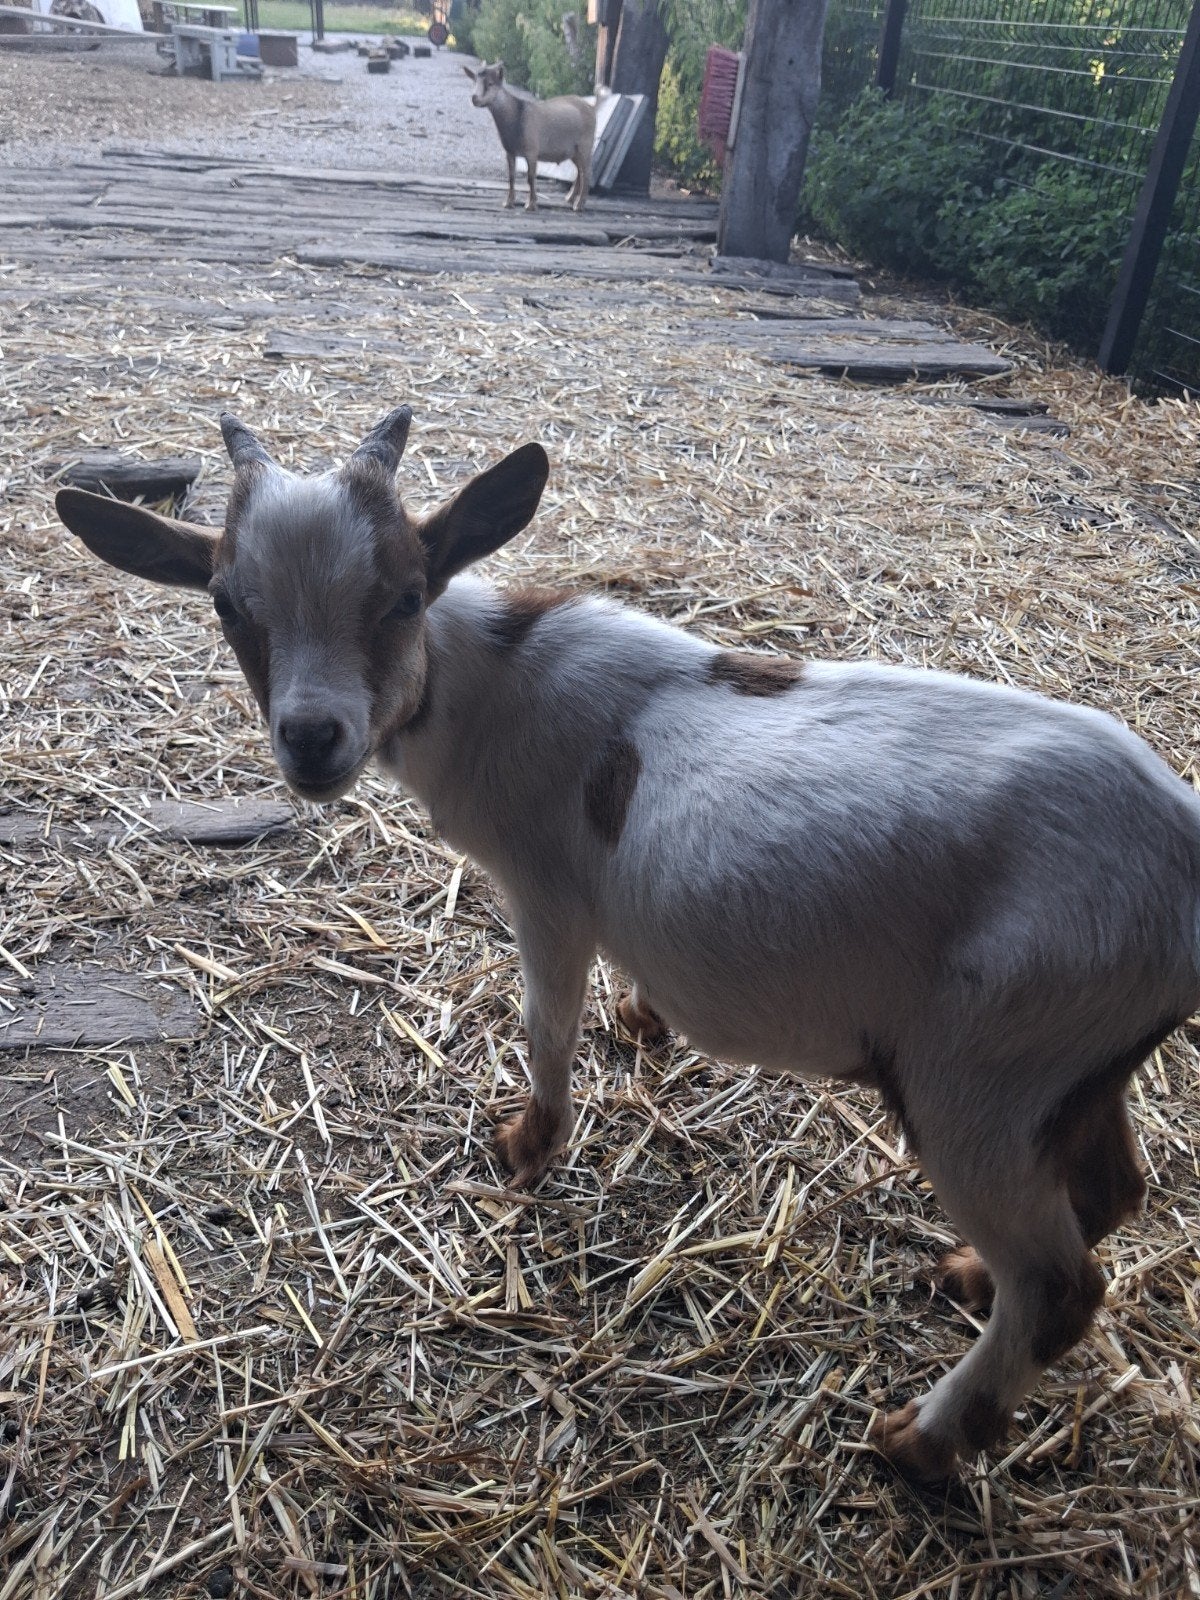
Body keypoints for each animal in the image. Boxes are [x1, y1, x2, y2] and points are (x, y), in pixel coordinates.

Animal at [55, 409, 1200, 1482]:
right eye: (226, 604)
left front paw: (528, 1145)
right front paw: (641, 1022)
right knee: (1112, 1191)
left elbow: (544, 1021)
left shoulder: (549, 891)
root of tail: (1184, 863)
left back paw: (921, 1439)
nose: (312, 739)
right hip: (1069, 1061)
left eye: (405, 595)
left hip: (981, 1076)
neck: (488, 683)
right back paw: (965, 1275)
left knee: (1058, 1284)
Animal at [464, 60, 595, 212]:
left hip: (585, 145)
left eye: (490, 83)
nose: (475, 98)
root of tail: (590, 107)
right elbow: (511, 177)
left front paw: (530, 204)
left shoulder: (531, 151)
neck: (517, 114)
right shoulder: (510, 151)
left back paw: (579, 205)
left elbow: (530, 177)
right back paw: (570, 198)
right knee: (579, 171)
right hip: (574, 151)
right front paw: (508, 202)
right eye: (474, 81)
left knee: (586, 173)